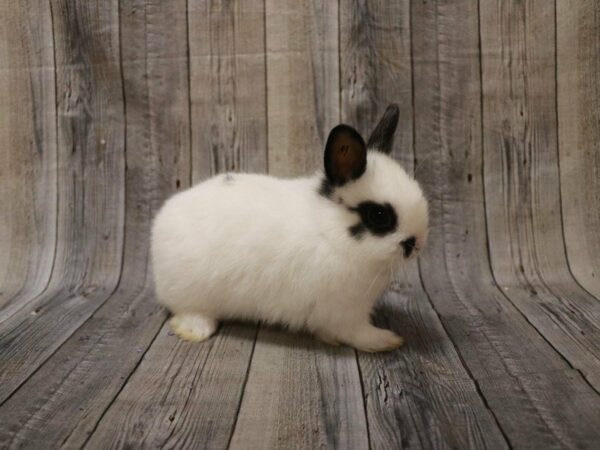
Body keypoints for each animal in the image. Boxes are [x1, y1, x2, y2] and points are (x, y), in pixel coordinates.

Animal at [152, 105, 428, 352]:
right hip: (191, 294)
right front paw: (387, 340)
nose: (417, 244)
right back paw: (194, 331)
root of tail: (160, 223)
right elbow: (358, 334)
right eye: (379, 216)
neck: (329, 233)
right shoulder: (345, 313)